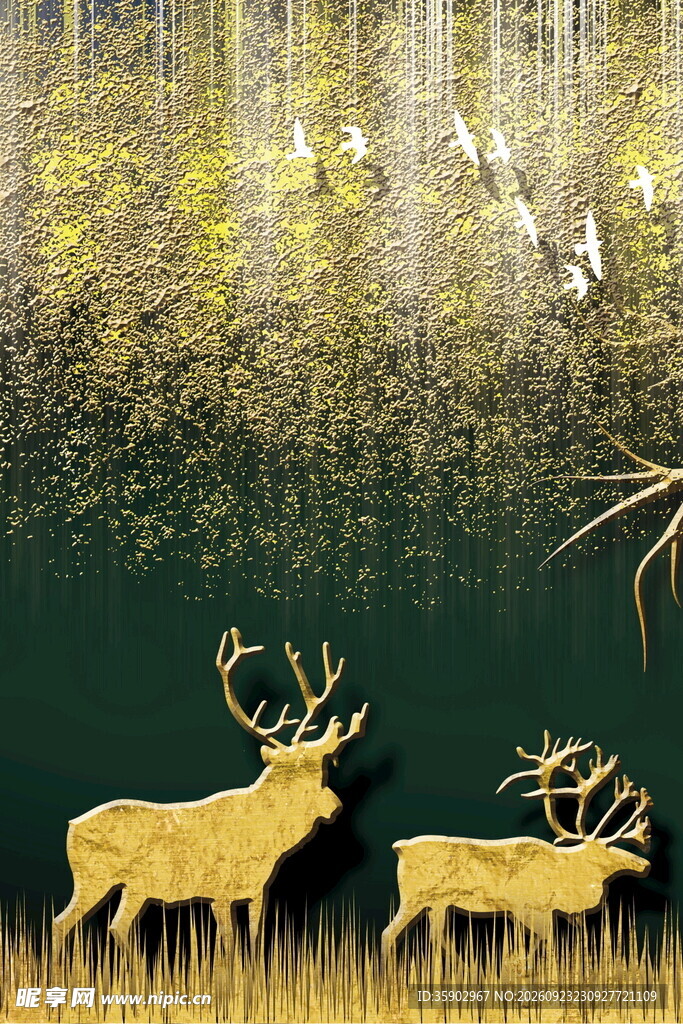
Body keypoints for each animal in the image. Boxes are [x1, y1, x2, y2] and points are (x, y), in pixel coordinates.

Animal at [53, 627, 369, 952]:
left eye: (325, 768)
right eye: (307, 773)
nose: (335, 806)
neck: (266, 840)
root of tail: (71, 827)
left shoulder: (257, 889)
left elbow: (254, 938)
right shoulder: (220, 890)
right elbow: (228, 942)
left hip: (133, 888)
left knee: (115, 925)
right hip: (93, 878)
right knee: (64, 922)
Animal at [382, 731, 653, 955]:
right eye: (608, 849)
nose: (645, 864)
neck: (566, 871)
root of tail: (399, 847)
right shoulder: (524, 906)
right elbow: (542, 942)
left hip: (438, 903)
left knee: (437, 937)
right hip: (413, 898)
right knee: (389, 933)